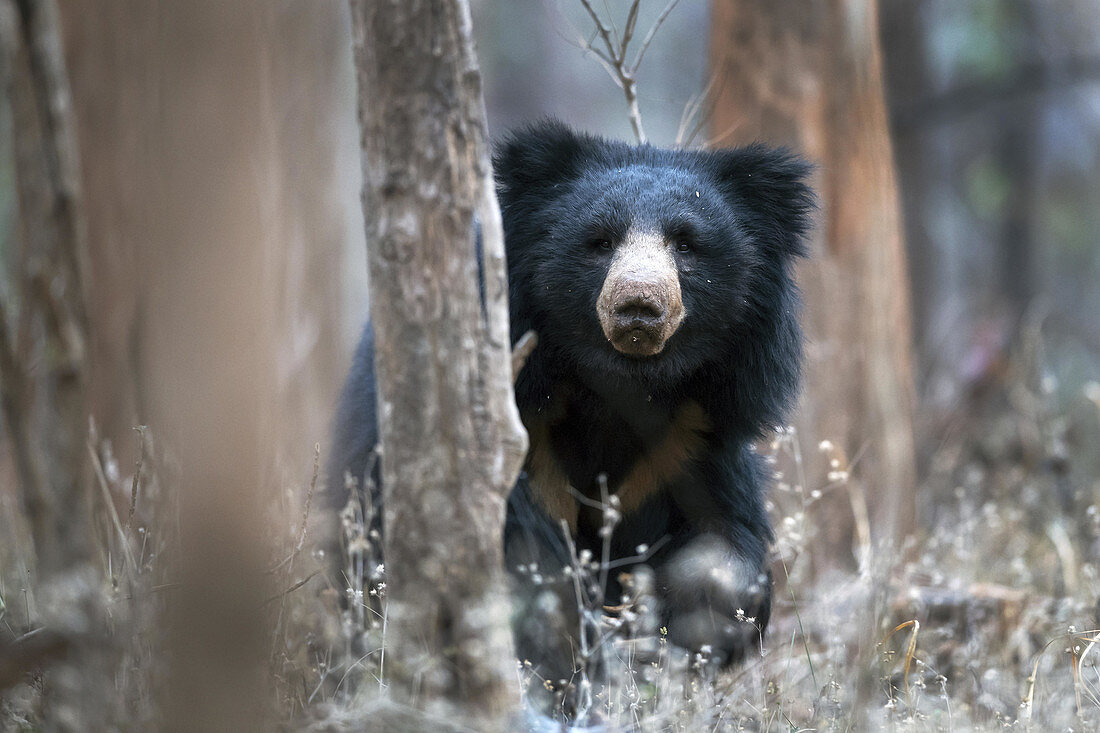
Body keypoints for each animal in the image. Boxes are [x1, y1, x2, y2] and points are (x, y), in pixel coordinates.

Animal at [330, 122, 814, 695]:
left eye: (687, 245)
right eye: (600, 242)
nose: (639, 305)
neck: (619, 385)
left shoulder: (691, 439)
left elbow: (721, 543)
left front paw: (697, 615)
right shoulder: (519, 431)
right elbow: (518, 555)